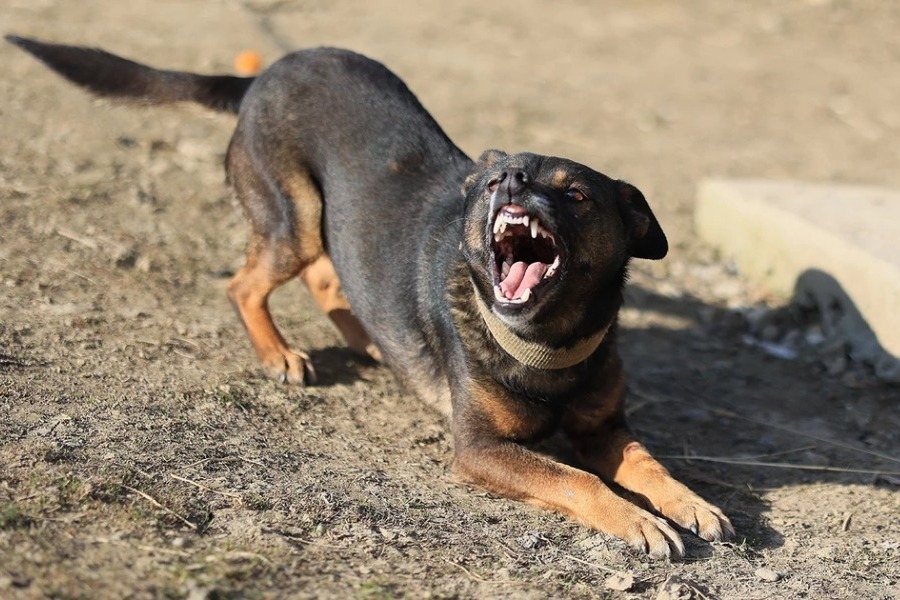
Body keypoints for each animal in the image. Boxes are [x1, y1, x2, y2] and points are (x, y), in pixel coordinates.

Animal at [7, 34, 736, 556]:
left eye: (577, 194)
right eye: (498, 178)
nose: (511, 180)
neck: (544, 342)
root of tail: (263, 75)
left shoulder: (605, 428)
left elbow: (647, 464)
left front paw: (692, 502)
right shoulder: (479, 449)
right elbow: (575, 477)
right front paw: (638, 522)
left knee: (331, 277)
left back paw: (372, 342)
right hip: (296, 217)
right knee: (247, 282)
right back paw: (278, 353)